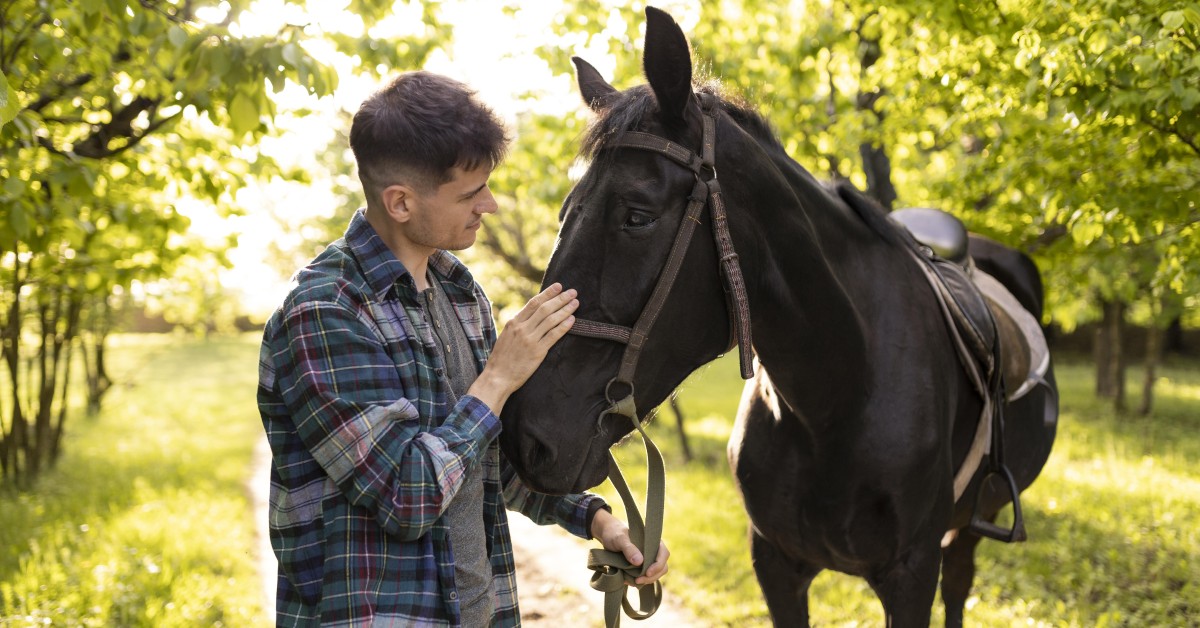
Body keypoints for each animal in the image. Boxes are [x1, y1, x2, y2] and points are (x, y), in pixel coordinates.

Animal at [500, 7, 1058, 626]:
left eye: (637, 216)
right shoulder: (774, 565)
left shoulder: (912, 572)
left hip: (968, 528)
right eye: (565, 211)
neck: (839, 395)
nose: (523, 434)